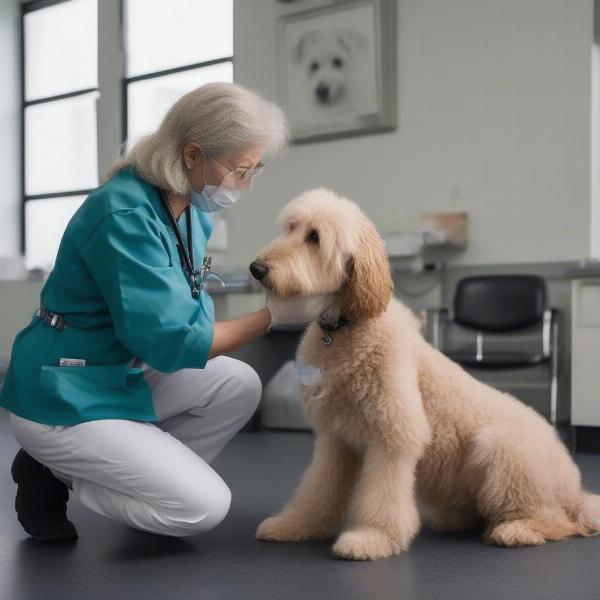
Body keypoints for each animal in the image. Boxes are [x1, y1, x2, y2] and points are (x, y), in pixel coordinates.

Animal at [251, 190, 596, 560]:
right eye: (290, 227)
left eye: (314, 237)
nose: (256, 269)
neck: (346, 330)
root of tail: (575, 488)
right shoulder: (336, 441)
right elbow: (317, 489)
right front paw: (294, 526)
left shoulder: (394, 436)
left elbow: (382, 497)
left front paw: (372, 538)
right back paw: (454, 519)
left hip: (501, 449)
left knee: (556, 520)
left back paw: (517, 530)